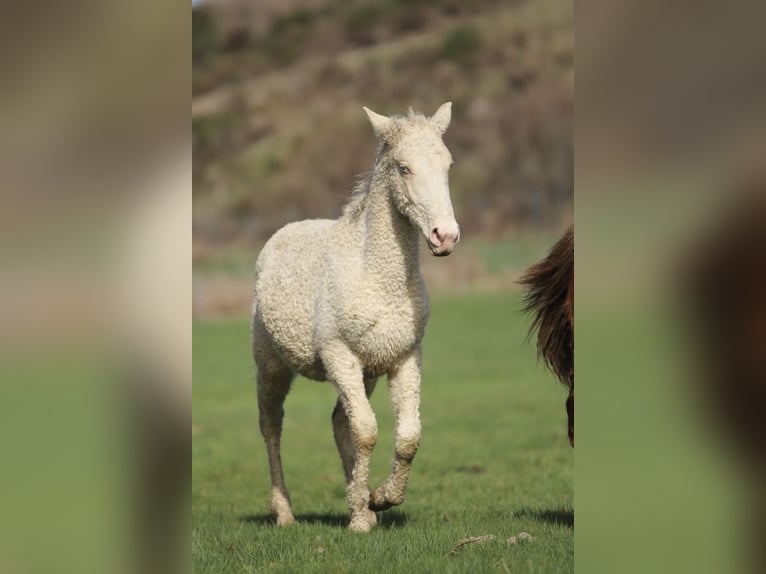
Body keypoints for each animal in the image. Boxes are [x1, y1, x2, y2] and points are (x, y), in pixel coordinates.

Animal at [251, 103, 460, 532]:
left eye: (448, 164)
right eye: (403, 167)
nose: (445, 236)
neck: (377, 277)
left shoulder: (404, 357)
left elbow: (407, 436)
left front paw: (379, 500)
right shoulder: (338, 355)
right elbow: (366, 431)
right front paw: (365, 514)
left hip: (366, 373)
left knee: (338, 421)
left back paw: (359, 502)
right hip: (271, 363)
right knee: (271, 424)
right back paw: (284, 512)